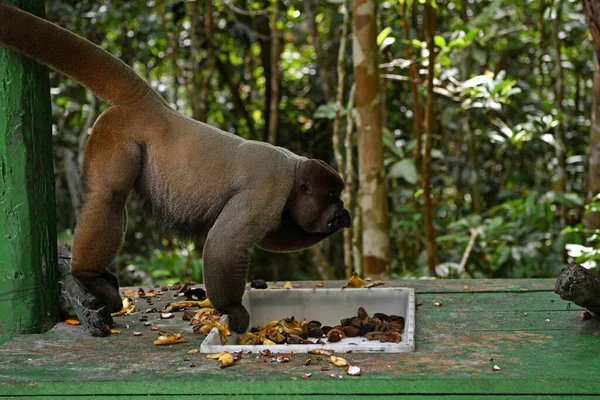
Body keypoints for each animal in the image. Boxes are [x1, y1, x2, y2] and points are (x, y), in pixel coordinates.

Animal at [0, 0, 352, 332]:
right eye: (330, 195)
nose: (339, 208)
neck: (293, 175)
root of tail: (155, 105)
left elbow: (270, 238)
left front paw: (339, 223)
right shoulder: (269, 187)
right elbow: (226, 242)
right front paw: (233, 309)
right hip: (118, 135)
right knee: (107, 197)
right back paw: (87, 275)